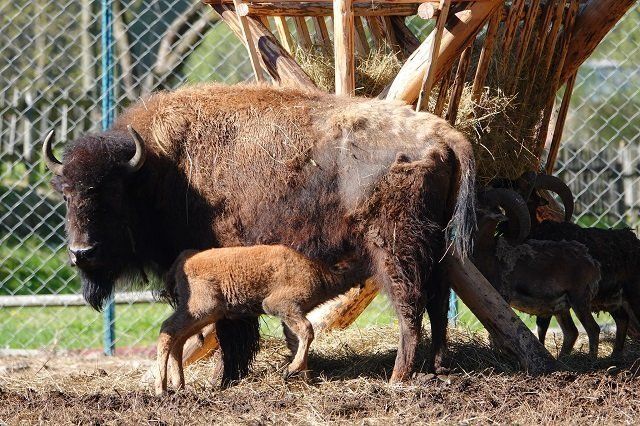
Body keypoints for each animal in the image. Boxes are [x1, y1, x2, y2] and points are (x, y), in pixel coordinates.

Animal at [156, 245, 364, 394]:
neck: (318, 272)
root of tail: (186, 258)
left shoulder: (291, 314)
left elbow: (295, 339)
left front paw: (305, 380)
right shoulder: (279, 305)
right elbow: (307, 331)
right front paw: (292, 370)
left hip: (206, 314)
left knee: (178, 339)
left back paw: (180, 386)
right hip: (202, 309)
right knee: (168, 330)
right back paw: (162, 389)